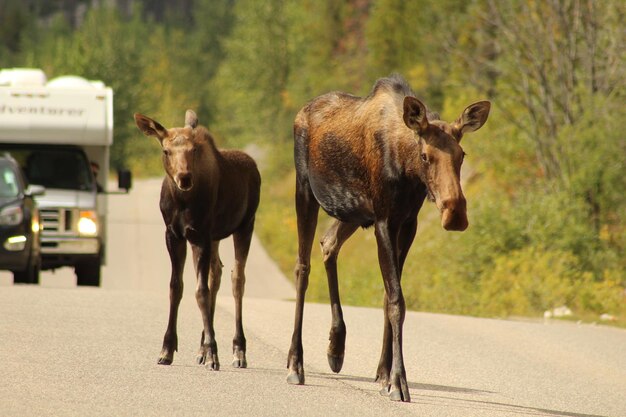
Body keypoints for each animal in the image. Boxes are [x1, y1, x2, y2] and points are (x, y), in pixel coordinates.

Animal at [135, 109, 260, 368]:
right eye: (166, 150)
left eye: (193, 150)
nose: (184, 177)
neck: (183, 202)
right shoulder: (175, 235)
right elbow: (176, 286)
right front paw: (167, 349)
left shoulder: (200, 234)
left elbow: (200, 291)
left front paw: (214, 352)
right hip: (214, 237)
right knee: (217, 272)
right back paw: (202, 348)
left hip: (245, 226)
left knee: (237, 278)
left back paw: (238, 350)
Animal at [286, 75, 488, 400]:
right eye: (425, 156)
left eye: (462, 155)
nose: (455, 213)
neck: (407, 171)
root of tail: (302, 111)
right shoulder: (383, 220)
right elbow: (396, 299)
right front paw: (398, 381)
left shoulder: (407, 223)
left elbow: (387, 295)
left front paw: (383, 374)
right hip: (305, 189)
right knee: (302, 267)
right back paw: (295, 364)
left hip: (350, 213)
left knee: (328, 244)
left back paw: (336, 347)